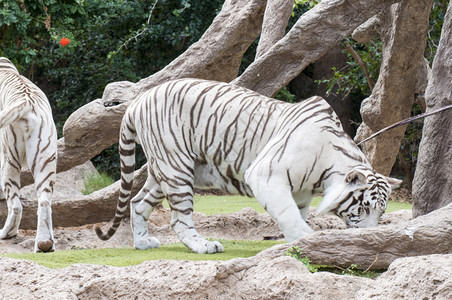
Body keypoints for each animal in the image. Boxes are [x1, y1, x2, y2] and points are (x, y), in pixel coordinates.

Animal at [0, 57, 58, 252]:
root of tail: (27, 102)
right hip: (45, 159)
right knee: (45, 202)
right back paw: (45, 244)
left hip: (9, 158)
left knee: (16, 204)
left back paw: (6, 233)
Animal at [95, 78, 400, 253]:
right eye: (364, 207)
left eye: (382, 211)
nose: (372, 236)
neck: (326, 172)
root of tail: (136, 102)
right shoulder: (266, 174)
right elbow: (288, 214)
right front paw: (304, 239)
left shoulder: (301, 192)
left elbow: (296, 213)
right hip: (176, 167)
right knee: (179, 219)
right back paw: (204, 246)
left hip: (165, 170)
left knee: (137, 202)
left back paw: (142, 243)